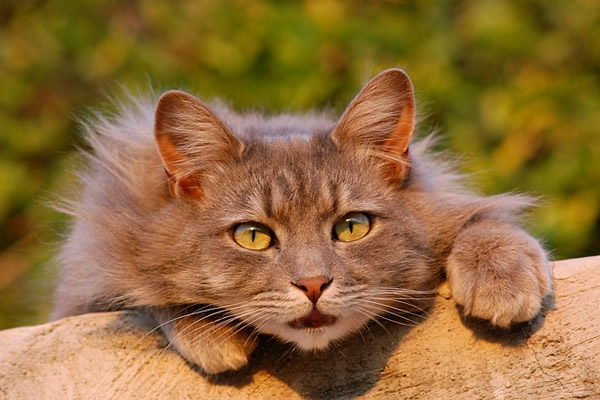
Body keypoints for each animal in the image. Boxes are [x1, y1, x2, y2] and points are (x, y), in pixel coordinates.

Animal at [52, 69, 552, 376]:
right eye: (253, 236)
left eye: (352, 227)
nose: (313, 285)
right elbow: (147, 297)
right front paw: (210, 335)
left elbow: (485, 222)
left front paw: (502, 281)